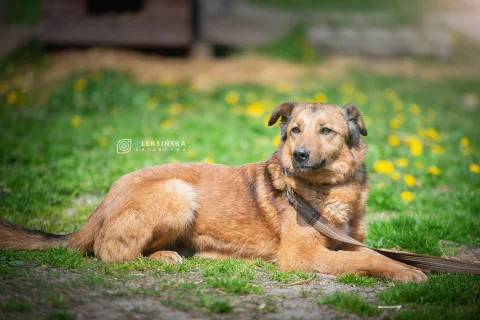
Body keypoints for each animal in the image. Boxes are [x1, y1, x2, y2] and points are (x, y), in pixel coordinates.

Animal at [0, 101, 428, 282]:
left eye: (326, 130)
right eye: (294, 130)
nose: (299, 155)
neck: (330, 188)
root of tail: (105, 199)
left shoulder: (348, 240)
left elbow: (374, 252)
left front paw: (404, 265)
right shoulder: (302, 256)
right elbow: (367, 259)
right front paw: (408, 273)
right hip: (177, 193)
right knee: (111, 253)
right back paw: (163, 258)